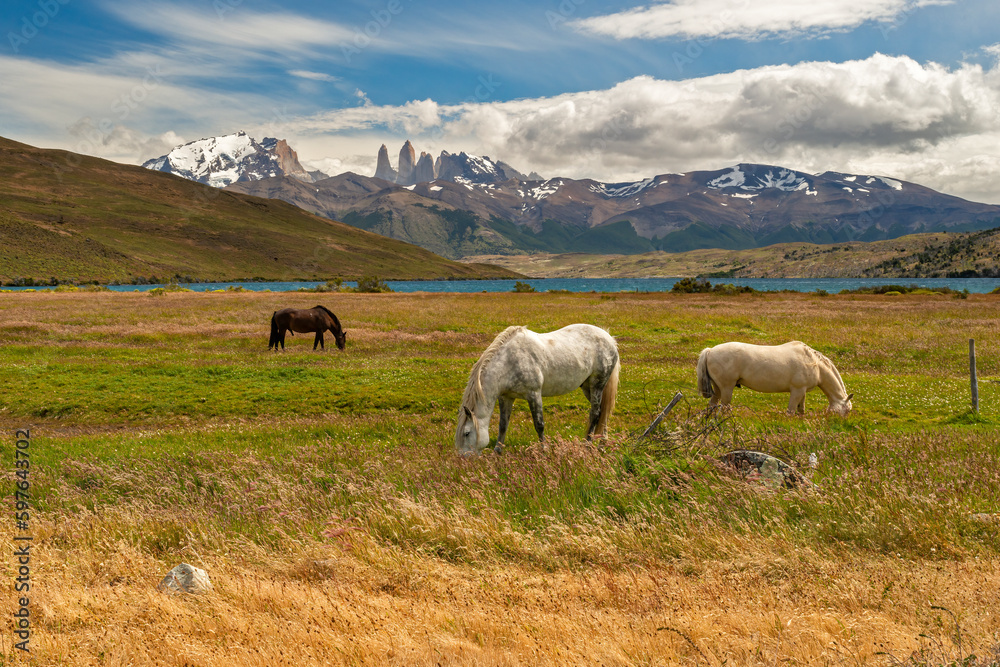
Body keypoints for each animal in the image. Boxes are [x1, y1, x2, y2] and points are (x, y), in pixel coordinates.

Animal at [455, 324, 620, 455]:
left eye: (467, 433)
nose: (463, 459)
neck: (509, 361)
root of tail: (610, 339)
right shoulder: (506, 397)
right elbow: (503, 425)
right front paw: (497, 452)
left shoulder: (533, 394)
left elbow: (539, 425)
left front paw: (544, 451)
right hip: (588, 388)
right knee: (603, 413)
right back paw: (601, 445)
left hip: (597, 384)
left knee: (596, 413)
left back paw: (587, 445)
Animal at [696, 341, 852, 416]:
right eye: (847, 410)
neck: (815, 364)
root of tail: (710, 351)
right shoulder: (797, 391)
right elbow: (790, 411)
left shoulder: (802, 392)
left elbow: (801, 410)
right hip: (727, 388)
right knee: (724, 407)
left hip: (718, 388)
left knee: (712, 404)